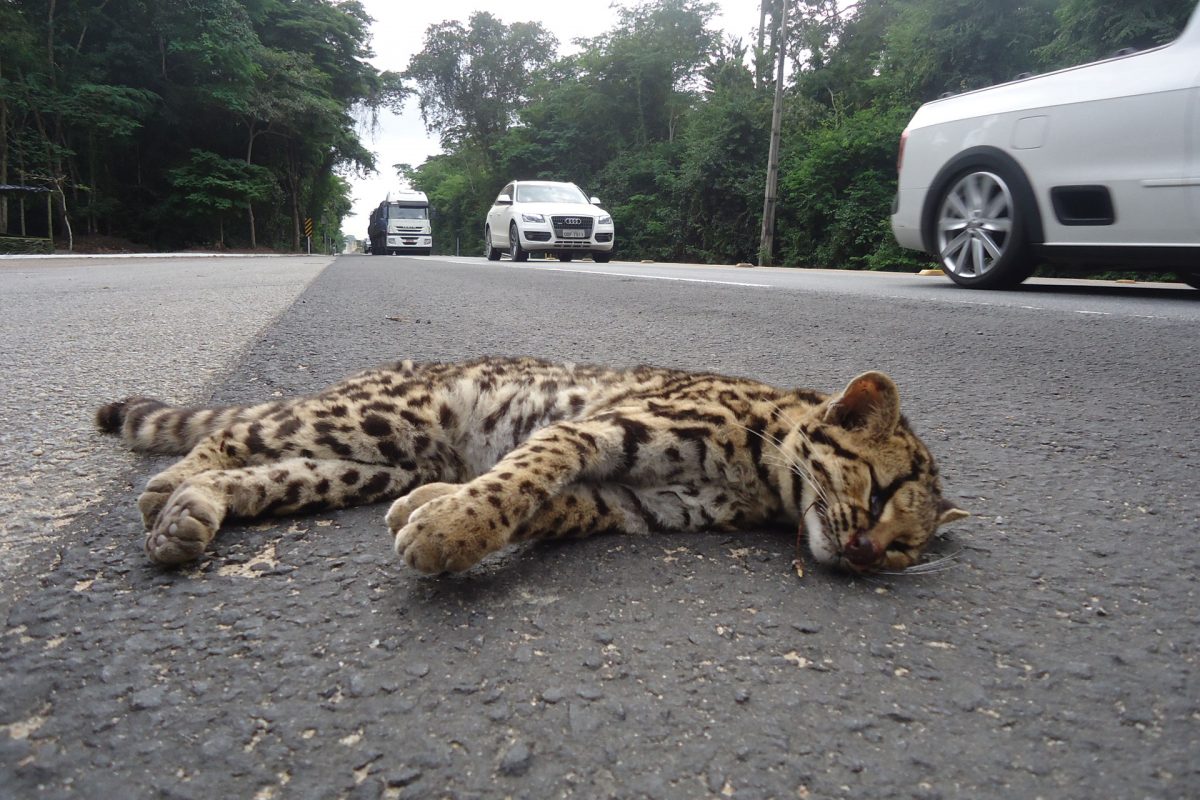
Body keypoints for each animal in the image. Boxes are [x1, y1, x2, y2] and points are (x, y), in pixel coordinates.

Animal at [95, 357, 969, 575]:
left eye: (905, 550)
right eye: (879, 490)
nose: (864, 553)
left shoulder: (633, 506)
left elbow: (547, 505)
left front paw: (436, 509)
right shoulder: (594, 430)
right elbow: (518, 481)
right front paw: (453, 528)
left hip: (374, 462)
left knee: (268, 474)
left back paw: (193, 512)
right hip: (378, 420)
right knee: (240, 433)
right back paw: (170, 485)